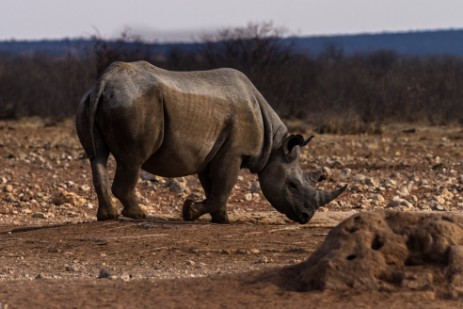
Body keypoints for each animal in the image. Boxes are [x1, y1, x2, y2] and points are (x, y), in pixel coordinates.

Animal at [76, 60, 346, 224]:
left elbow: (214, 186)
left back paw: (108, 216)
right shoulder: (234, 152)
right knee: (133, 160)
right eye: (292, 185)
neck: (275, 146)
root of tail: (104, 81)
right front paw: (190, 212)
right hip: (134, 103)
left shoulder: (213, 152)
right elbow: (222, 186)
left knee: (97, 156)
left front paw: (220, 218)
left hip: (95, 100)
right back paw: (138, 215)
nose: (306, 216)